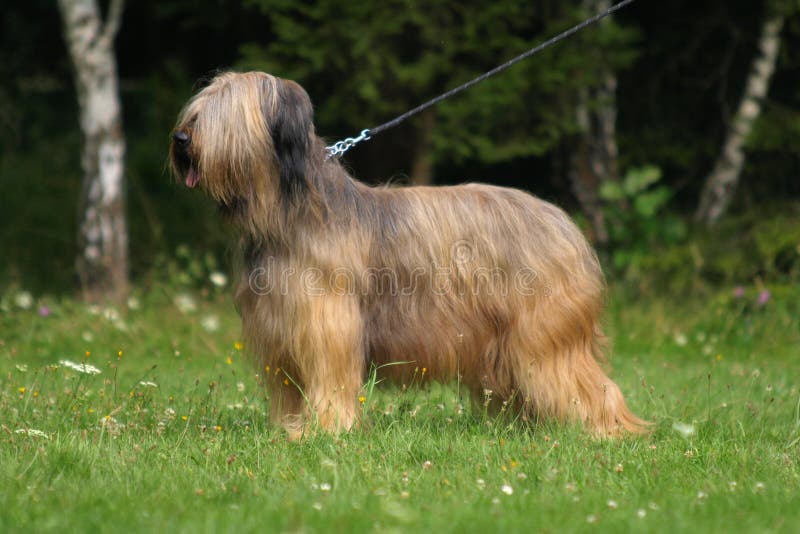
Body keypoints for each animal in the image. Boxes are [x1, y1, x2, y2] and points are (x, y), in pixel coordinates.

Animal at [172, 71, 648, 440]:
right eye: (196, 111)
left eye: (222, 113)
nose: (180, 137)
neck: (288, 211)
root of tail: (565, 223)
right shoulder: (281, 334)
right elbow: (291, 392)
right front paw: (291, 430)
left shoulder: (327, 324)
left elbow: (330, 380)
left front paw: (324, 431)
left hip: (544, 334)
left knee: (588, 384)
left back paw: (611, 430)